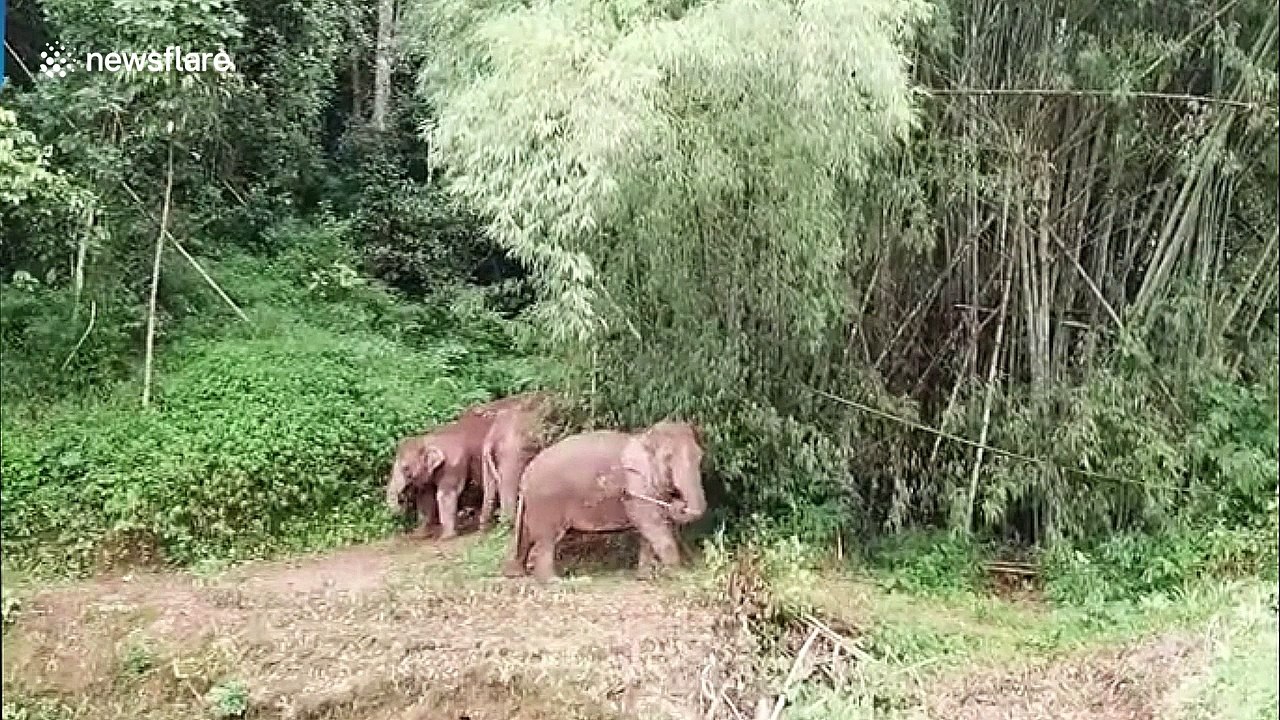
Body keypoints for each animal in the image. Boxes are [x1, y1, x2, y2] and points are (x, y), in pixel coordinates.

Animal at [502, 421, 706, 582]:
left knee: (526, 535)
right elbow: (651, 524)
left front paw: (644, 576)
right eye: (668, 458)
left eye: (700, 456)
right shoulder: (636, 485)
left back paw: (515, 573)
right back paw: (555, 581)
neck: (643, 438)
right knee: (546, 540)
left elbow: (649, 530)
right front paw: (679, 575)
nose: (679, 502)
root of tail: (526, 475)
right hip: (546, 502)